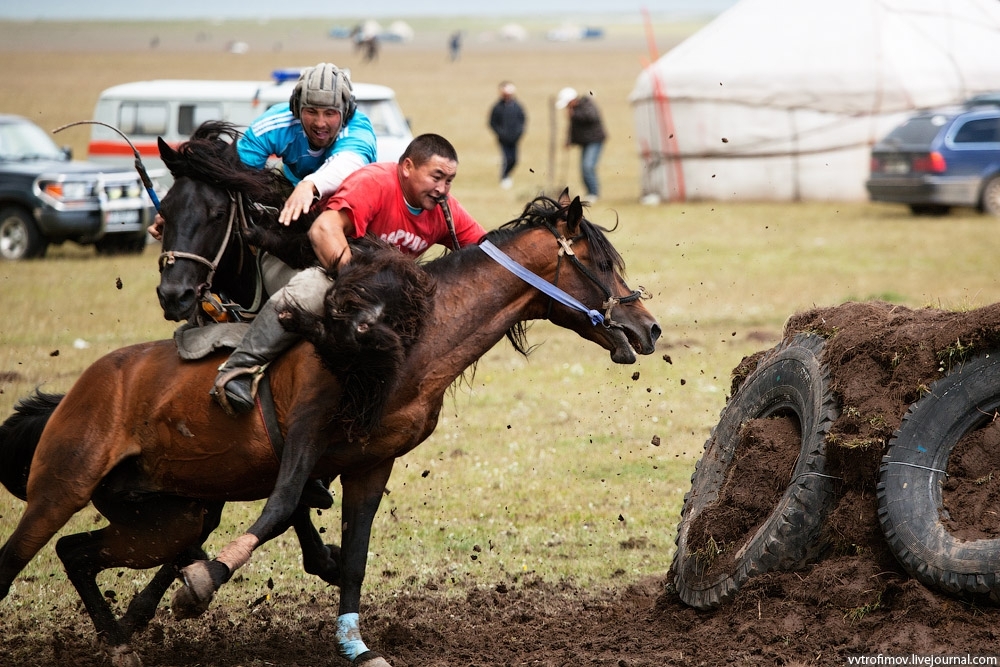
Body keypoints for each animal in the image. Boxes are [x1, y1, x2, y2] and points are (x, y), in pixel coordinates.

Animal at [0, 122, 660, 664]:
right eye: (603, 263)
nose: (647, 327)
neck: (414, 330)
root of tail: (80, 389)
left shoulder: (372, 462)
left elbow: (355, 554)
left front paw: (355, 645)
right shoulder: (307, 430)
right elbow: (282, 505)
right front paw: (205, 583)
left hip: (168, 514)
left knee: (79, 553)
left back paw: (120, 638)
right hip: (63, 487)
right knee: (18, 558)